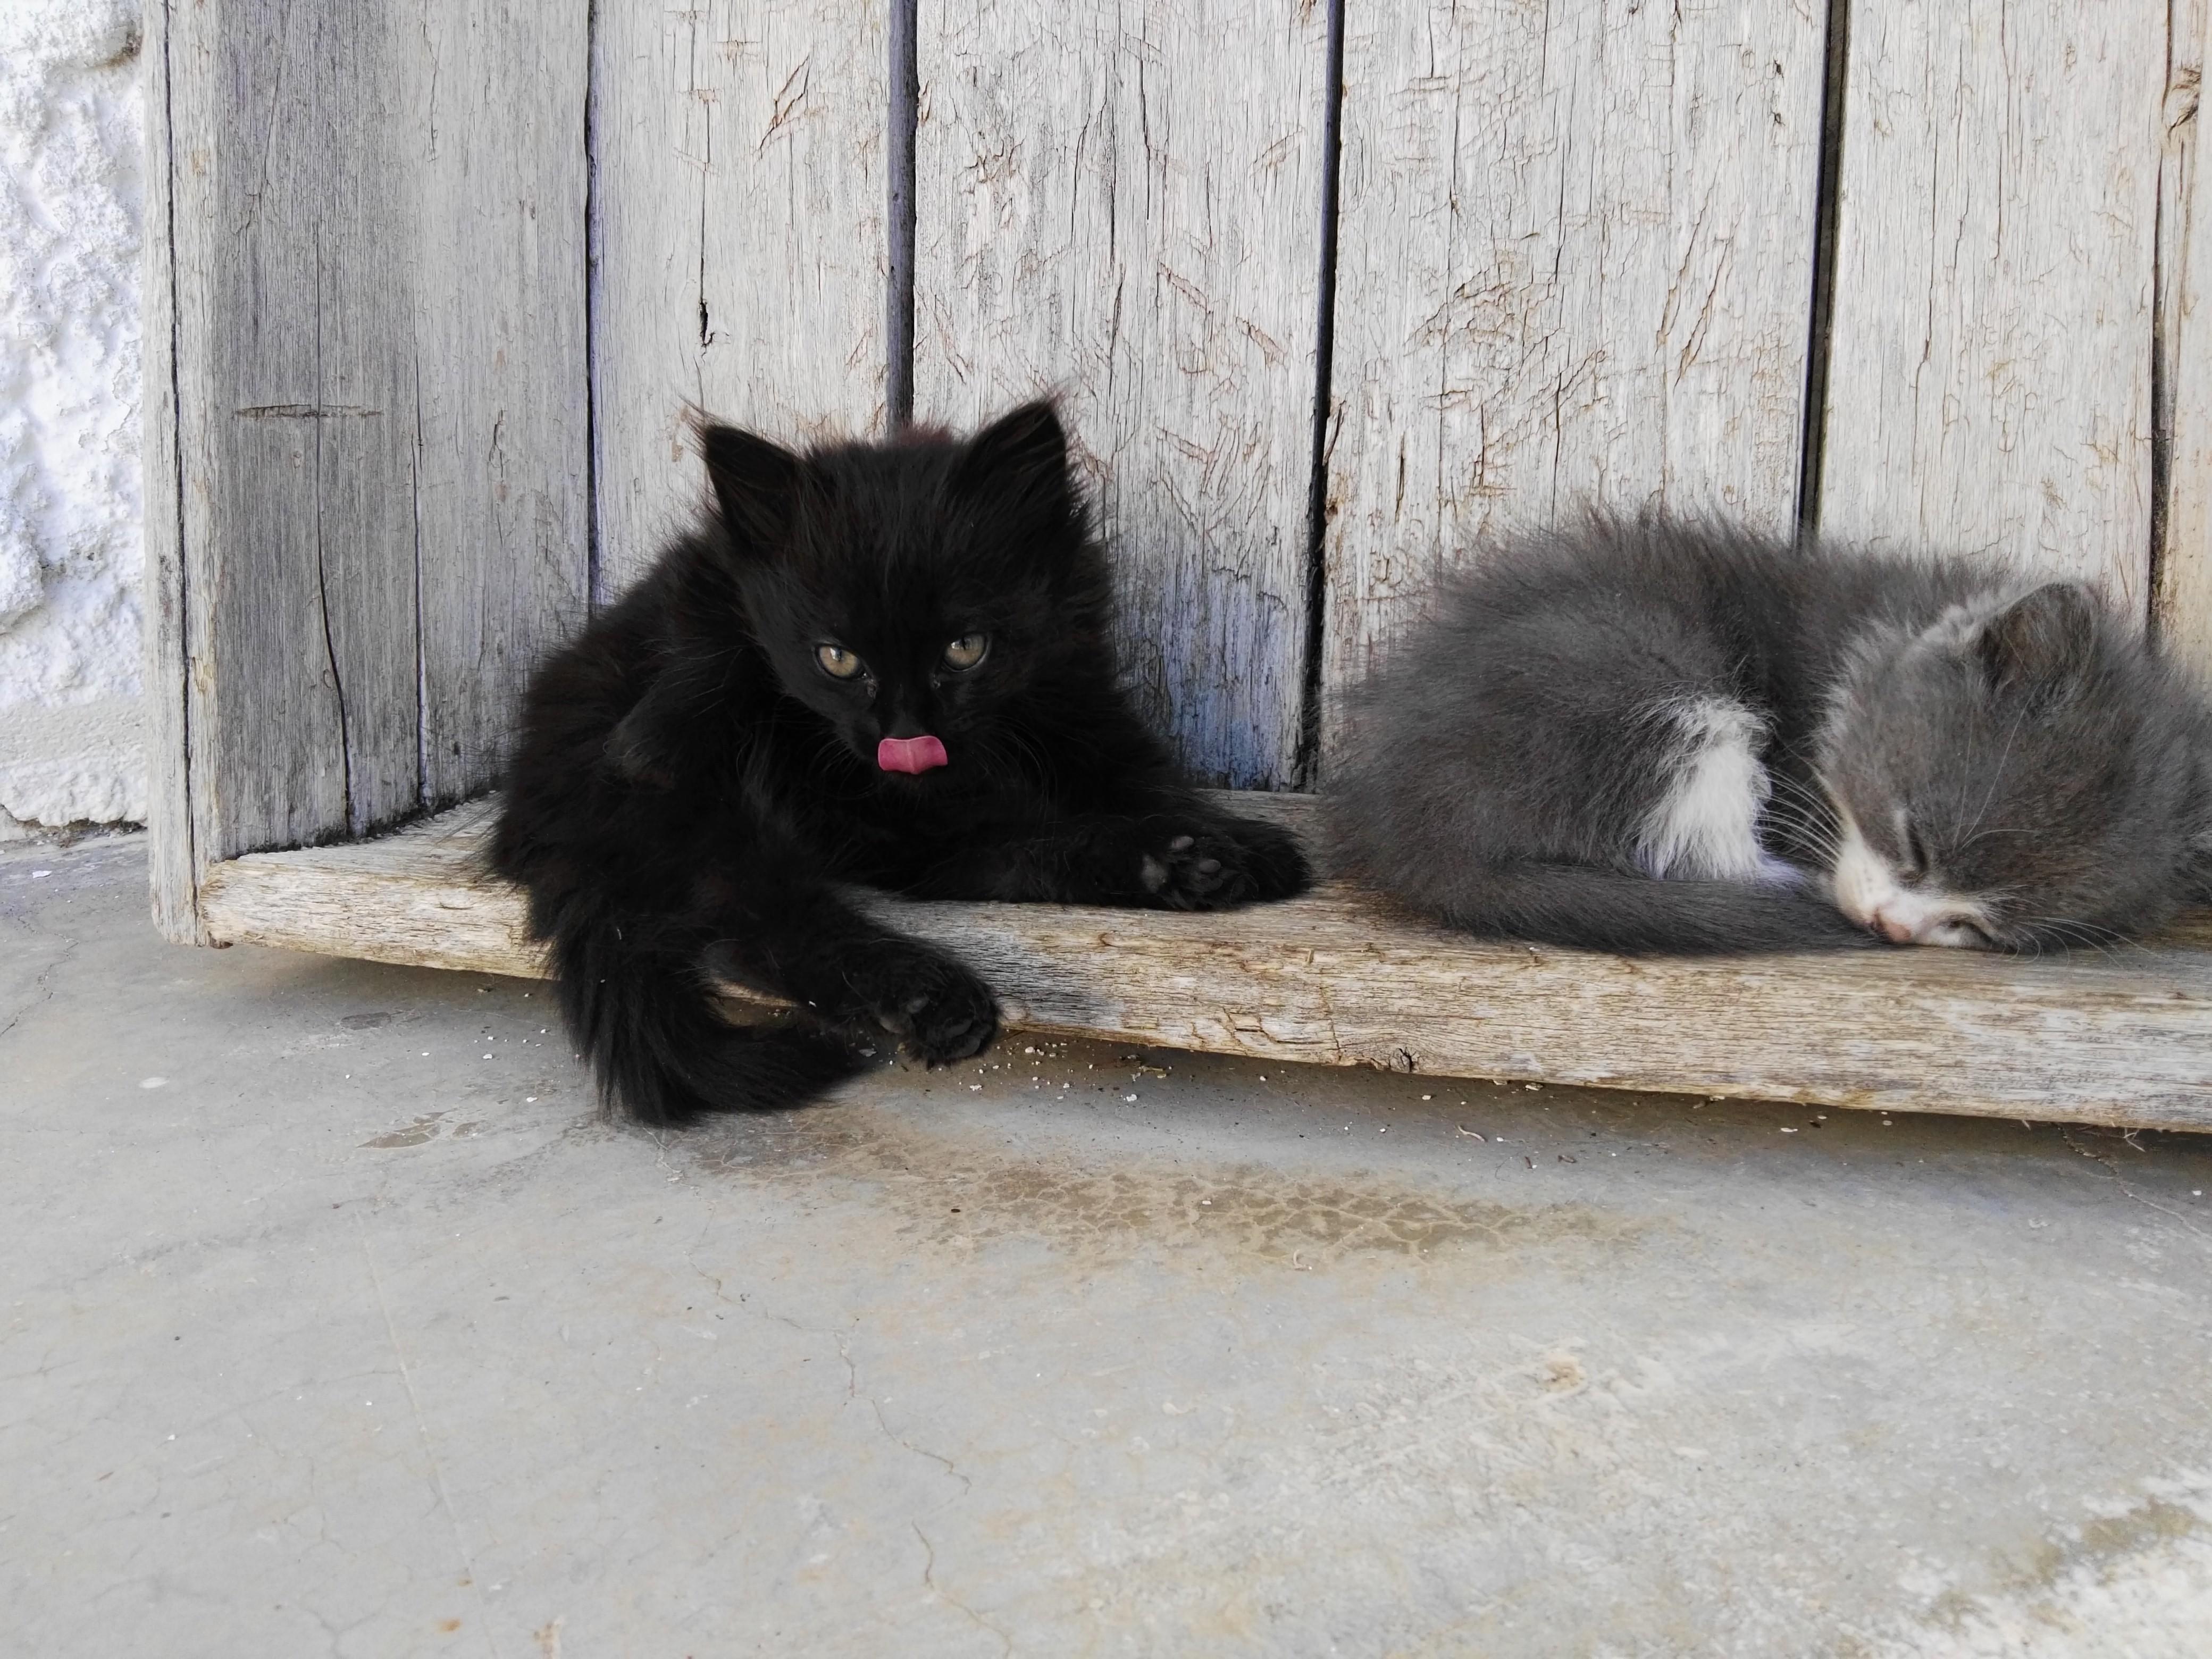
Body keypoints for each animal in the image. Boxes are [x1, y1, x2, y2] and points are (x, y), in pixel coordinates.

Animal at [493, 405, 1301, 1132]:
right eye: (837, 659)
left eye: (965, 648)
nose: (905, 737)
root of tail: (532, 805)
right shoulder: (889, 822)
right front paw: (1182, 857)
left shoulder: (1072, 712)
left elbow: (1134, 785)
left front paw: (1220, 850)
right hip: (704, 815)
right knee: (754, 927)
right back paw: (928, 1000)